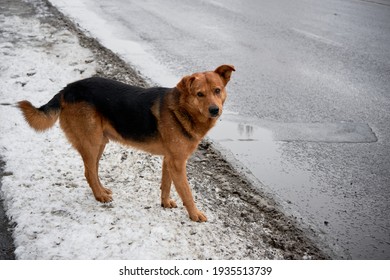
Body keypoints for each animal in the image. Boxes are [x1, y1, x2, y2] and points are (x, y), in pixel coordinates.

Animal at [17, 64, 235, 222]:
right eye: (199, 94)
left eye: (217, 90)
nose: (215, 110)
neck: (182, 109)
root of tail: (67, 89)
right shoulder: (178, 163)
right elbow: (187, 193)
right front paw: (195, 214)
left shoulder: (169, 160)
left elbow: (166, 185)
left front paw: (165, 203)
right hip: (91, 143)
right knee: (89, 172)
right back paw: (100, 196)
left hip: (100, 143)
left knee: (93, 171)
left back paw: (102, 191)